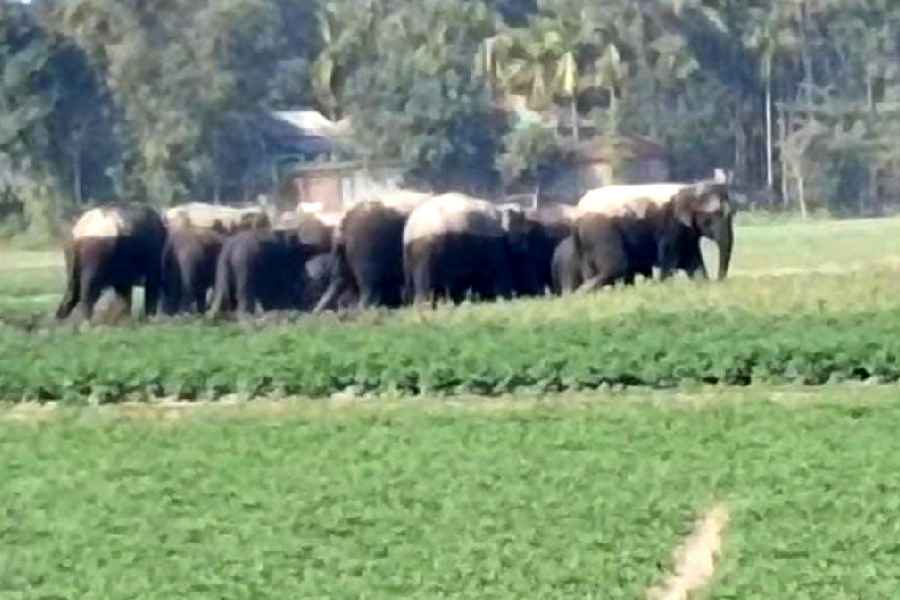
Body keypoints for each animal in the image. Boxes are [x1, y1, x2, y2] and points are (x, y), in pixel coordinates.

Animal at [402, 193, 531, 307]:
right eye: (521, 227)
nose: (525, 248)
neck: (498, 208)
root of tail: (409, 233)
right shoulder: (494, 245)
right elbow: (500, 272)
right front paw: (506, 299)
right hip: (428, 250)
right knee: (426, 282)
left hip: (415, 255)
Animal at [572, 181, 734, 290]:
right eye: (710, 217)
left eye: (732, 215)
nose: (718, 281)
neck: (690, 188)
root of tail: (579, 206)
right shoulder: (671, 226)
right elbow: (669, 261)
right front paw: (663, 286)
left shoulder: (687, 233)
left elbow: (694, 262)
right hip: (601, 230)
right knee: (616, 266)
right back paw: (581, 294)